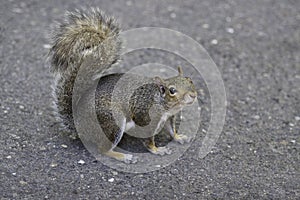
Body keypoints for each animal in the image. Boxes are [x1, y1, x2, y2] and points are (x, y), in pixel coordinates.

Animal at [49, 8, 198, 164]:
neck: (161, 102)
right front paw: (157, 150)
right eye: (172, 91)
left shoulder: (169, 117)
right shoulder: (145, 119)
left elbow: (171, 130)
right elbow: (148, 141)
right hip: (112, 122)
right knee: (103, 150)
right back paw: (123, 156)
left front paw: (178, 137)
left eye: (190, 80)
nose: (193, 95)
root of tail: (78, 124)